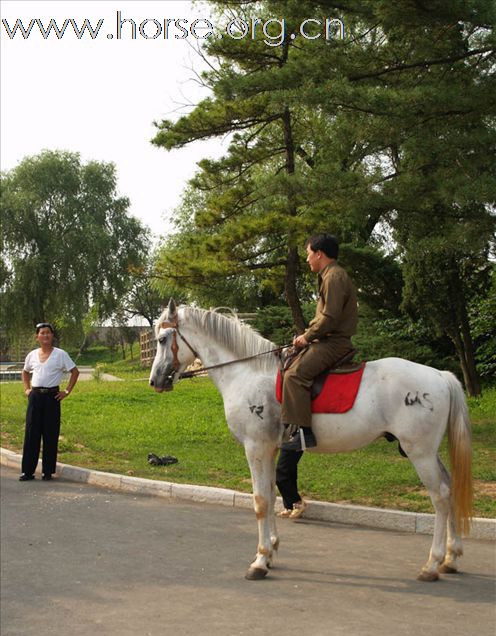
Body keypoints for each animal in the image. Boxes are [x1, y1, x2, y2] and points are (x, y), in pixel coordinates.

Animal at [150, 300, 472, 584]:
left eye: (163, 339)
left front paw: (260, 560)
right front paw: (271, 552)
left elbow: (260, 501)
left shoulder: (256, 447)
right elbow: (271, 494)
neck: (249, 373)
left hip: (420, 453)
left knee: (441, 495)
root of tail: (440, 376)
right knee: (450, 487)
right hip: (428, 452)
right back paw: (451, 558)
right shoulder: (270, 450)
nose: (155, 381)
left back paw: (432, 564)